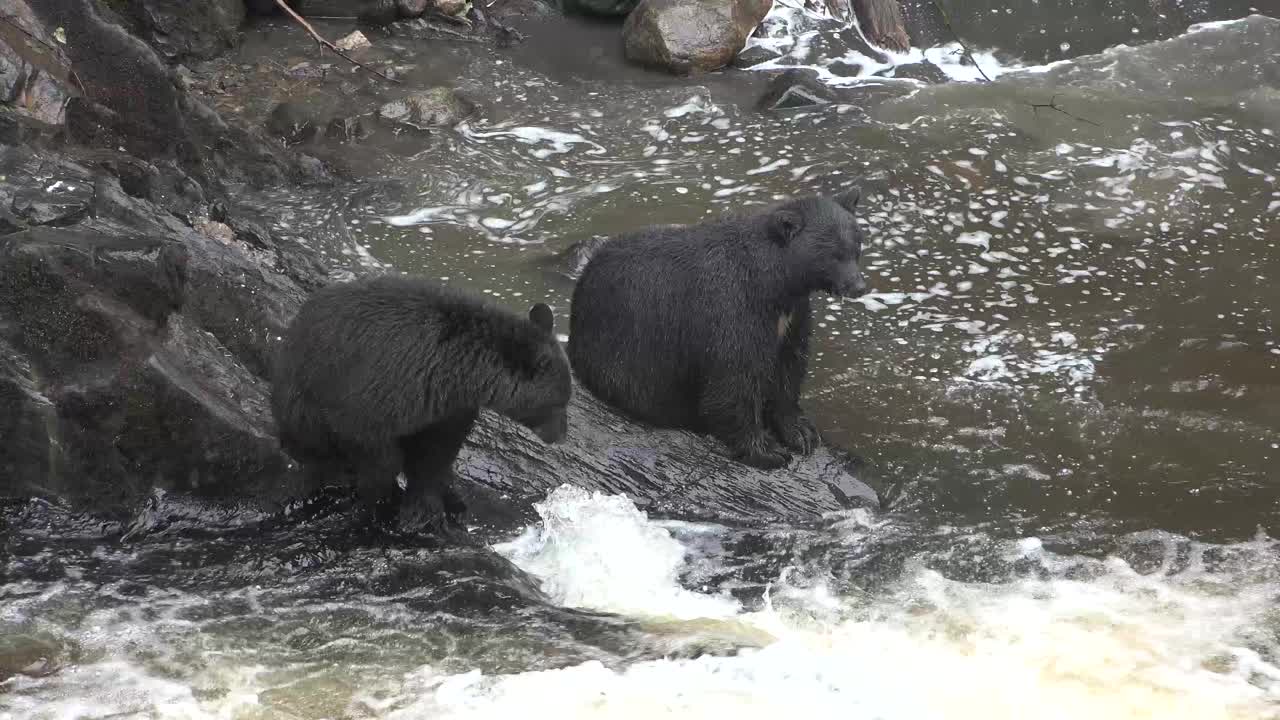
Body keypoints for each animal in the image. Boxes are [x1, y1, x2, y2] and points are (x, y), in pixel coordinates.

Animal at [272, 274, 573, 532]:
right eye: (559, 403)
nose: (561, 436)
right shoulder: (380, 387)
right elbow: (373, 447)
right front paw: (384, 499)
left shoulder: (448, 408)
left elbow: (435, 454)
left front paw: (428, 507)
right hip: (300, 399)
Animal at [570, 190, 870, 468]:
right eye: (833, 254)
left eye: (856, 247)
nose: (858, 287)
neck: (775, 284)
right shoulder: (732, 307)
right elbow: (733, 378)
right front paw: (766, 449)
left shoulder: (792, 316)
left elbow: (789, 365)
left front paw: (801, 431)